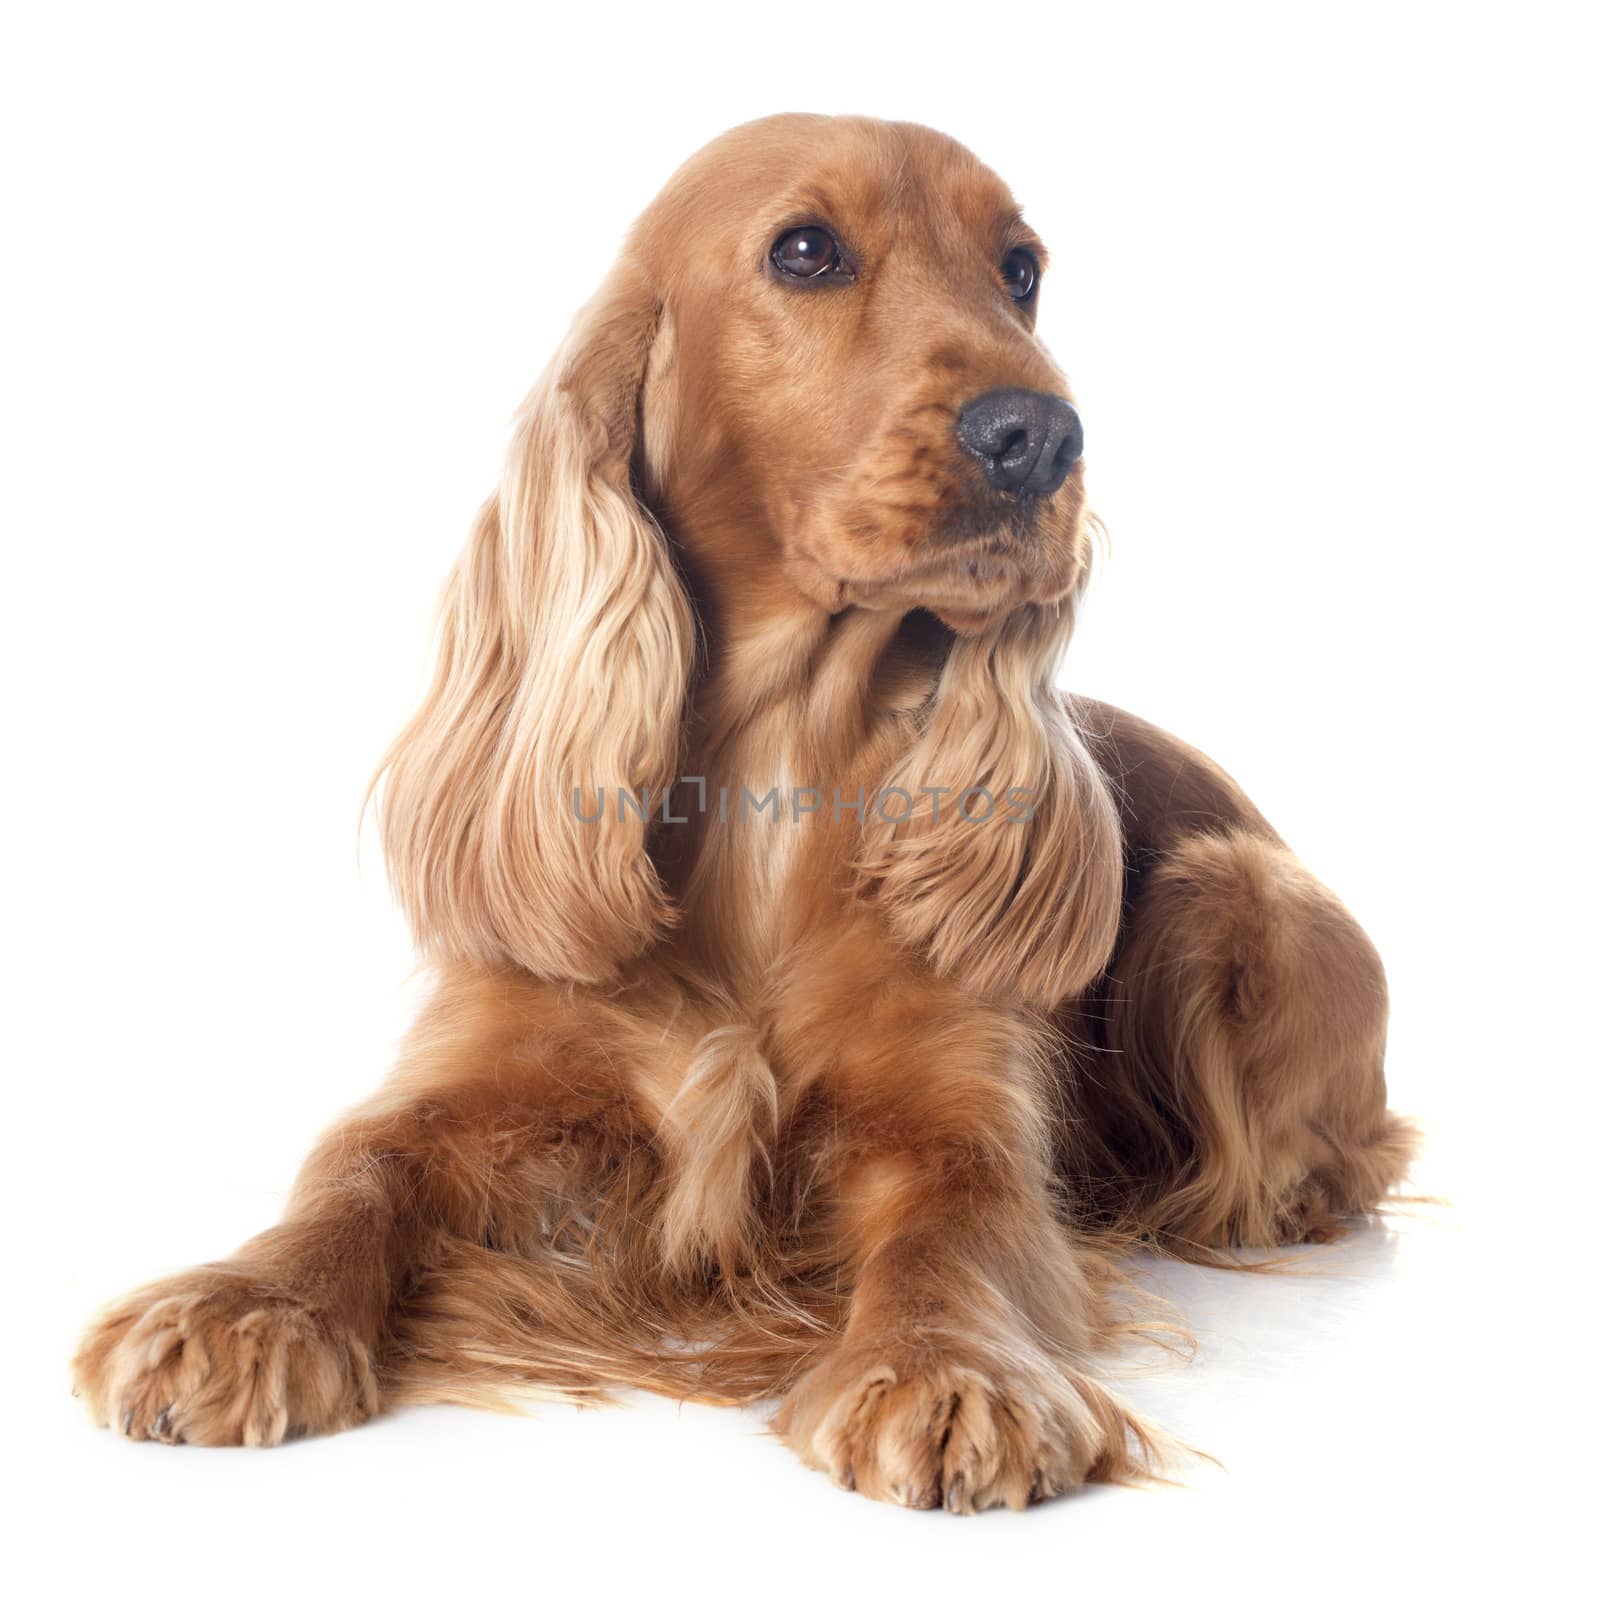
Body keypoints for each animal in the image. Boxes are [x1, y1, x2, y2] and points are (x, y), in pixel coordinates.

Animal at [72, 116, 1414, 1510]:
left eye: (1021, 270)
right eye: (805, 250)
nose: (1042, 435)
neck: (774, 770)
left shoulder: (961, 1115)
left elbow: (952, 1233)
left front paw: (946, 1371)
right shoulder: (482, 1070)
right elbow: (354, 1166)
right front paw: (244, 1302)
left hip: (1231, 892)